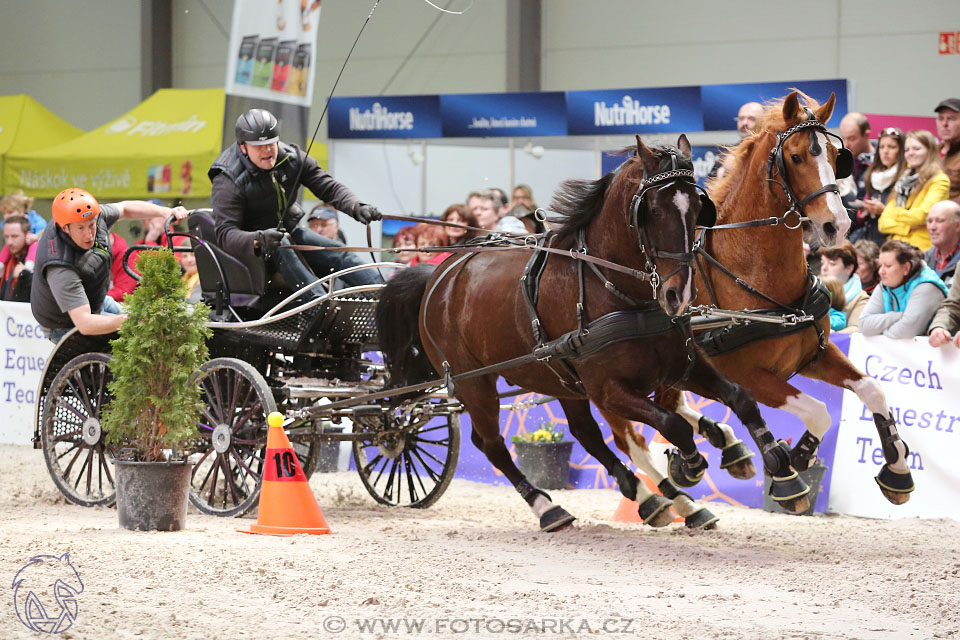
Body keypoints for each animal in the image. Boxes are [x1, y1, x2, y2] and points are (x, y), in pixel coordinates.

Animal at [376, 138, 772, 532]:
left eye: (698, 208)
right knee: (491, 443)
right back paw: (548, 509)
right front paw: (688, 465)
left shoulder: (680, 366)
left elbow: (740, 397)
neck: (617, 291)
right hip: (473, 382)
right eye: (655, 210)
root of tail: (437, 275)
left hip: (559, 379)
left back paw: (645, 496)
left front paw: (772, 459)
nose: (680, 294)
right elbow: (671, 423)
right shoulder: (607, 389)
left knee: (584, 433)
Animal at [608, 91, 916, 516]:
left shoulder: (814, 355)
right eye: (797, 157)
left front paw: (896, 470)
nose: (837, 224)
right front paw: (791, 470)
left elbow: (872, 389)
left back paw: (722, 447)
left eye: (836, 156)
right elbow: (819, 411)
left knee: (671, 403)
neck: (754, 276)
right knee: (631, 438)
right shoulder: (748, 374)